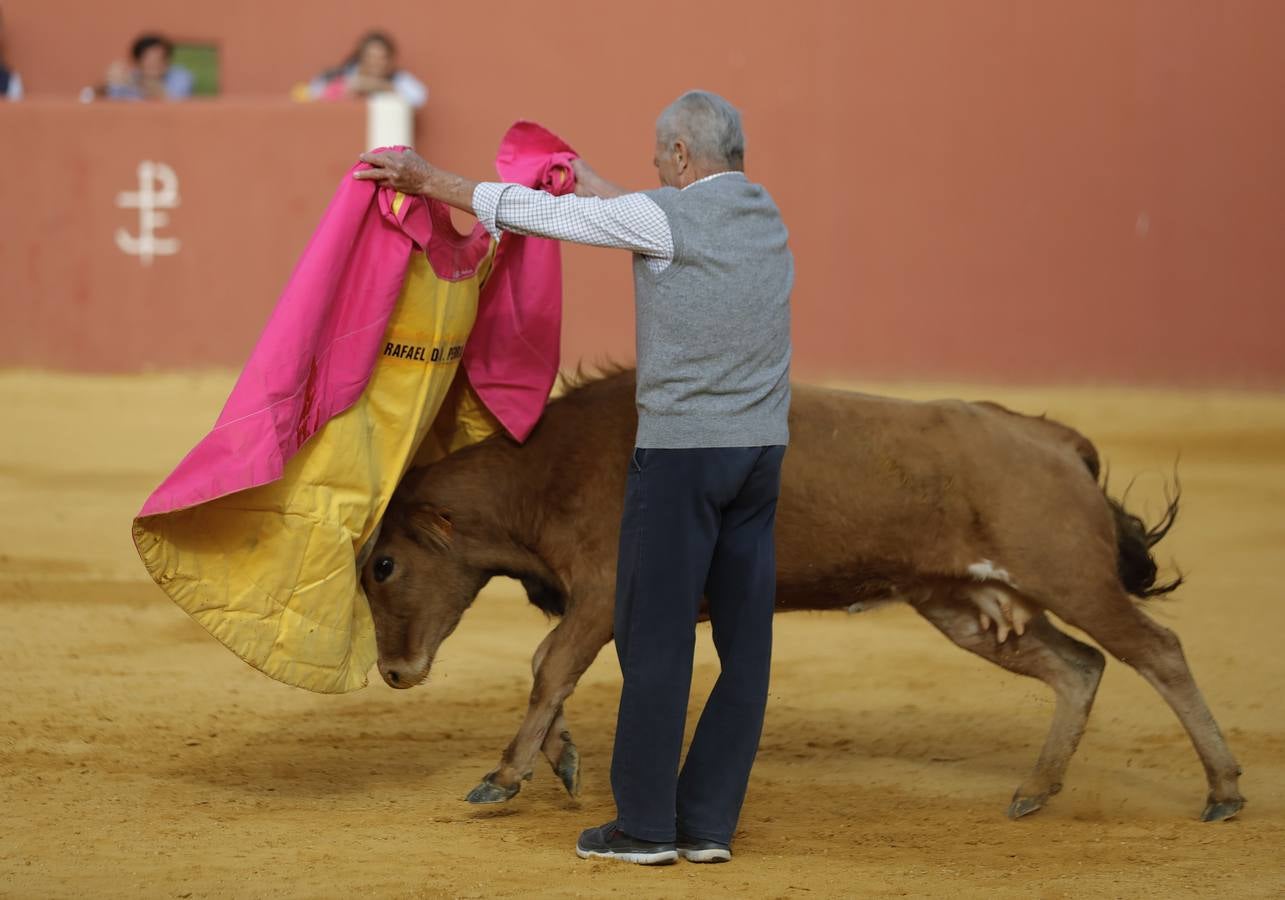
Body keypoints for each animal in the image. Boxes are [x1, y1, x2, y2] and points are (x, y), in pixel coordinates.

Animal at [359, 367, 1243, 822]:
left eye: (384, 566)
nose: (394, 673)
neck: (549, 468)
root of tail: (1048, 435)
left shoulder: (606, 594)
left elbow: (548, 663)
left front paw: (504, 776)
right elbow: (554, 670)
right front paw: (560, 759)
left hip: (1069, 576)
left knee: (1155, 651)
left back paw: (1224, 789)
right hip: (964, 605)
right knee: (1077, 667)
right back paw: (1033, 789)